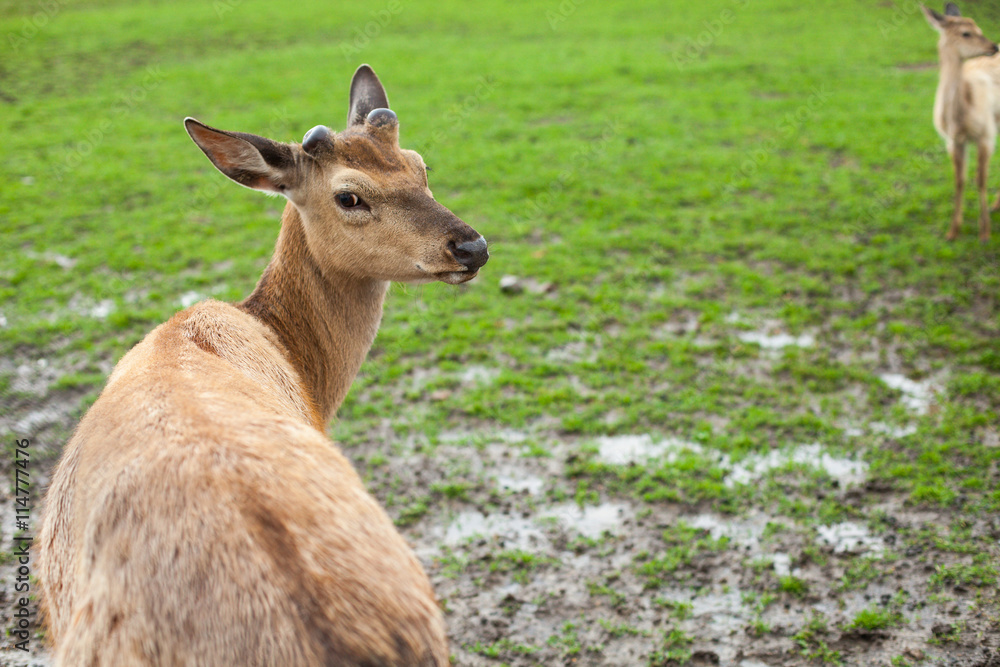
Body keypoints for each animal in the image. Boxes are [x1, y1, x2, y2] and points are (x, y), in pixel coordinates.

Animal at [923, 2, 1000, 242]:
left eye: (980, 28)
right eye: (966, 33)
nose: (994, 46)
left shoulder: (986, 134)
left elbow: (980, 179)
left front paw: (984, 233)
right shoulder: (952, 140)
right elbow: (959, 180)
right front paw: (952, 231)